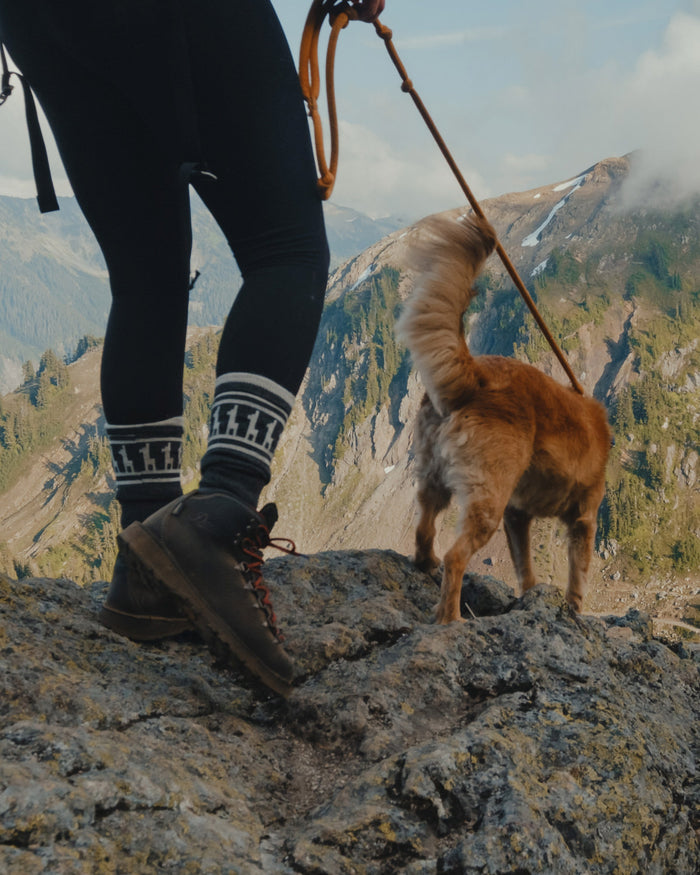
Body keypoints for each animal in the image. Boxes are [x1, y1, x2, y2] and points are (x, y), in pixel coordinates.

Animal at [396, 212, 608, 624]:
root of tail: (475, 378)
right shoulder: (583, 518)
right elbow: (579, 571)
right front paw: (574, 609)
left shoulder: (517, 515)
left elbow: (524, 565)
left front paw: (529, 595)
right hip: (488, 499)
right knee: (456, 556)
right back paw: (450, 617)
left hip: (435, 479)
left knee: (425, 527)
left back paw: (425, 564)